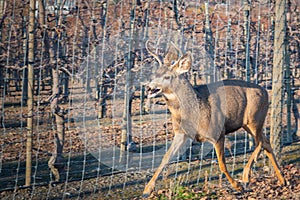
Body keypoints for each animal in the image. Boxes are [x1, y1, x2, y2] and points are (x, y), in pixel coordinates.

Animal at [143, 41, 286, 197]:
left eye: (167, 76)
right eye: (155, 74)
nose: (148, 88)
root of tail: (266, 91)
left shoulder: (218, 132)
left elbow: (221, 164)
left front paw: (237, 186)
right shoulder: (181, 133)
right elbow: (165, 158)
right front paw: (147, 190)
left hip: (254, 117)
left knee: (259, 142)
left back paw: (246, 176)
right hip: (247, 123)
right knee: (265, 141)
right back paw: (282, 180)